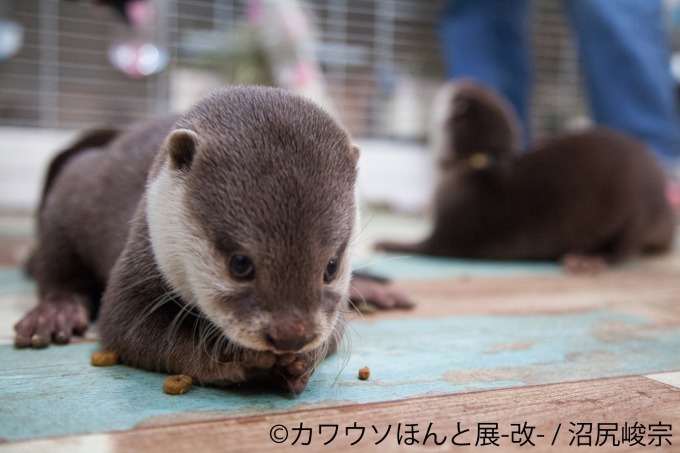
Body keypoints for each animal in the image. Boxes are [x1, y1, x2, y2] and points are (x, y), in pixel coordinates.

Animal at [15, 85, 406, 392]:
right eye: (240, 264)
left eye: (331, 267)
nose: (291, 335)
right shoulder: (138, 262)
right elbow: (128, 328)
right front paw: (229, 357)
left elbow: (334, 330)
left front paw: (302, 360)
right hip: (72, 190)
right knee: (55, 264)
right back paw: (54, 314)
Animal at [378, 79, 676, 266]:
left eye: (454, 90)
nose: (449, 83)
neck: (476, 167)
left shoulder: (451, 224)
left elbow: (425, 246)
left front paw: (388, 243)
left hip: (635, 207)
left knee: (625, 248)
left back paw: (588, 258)